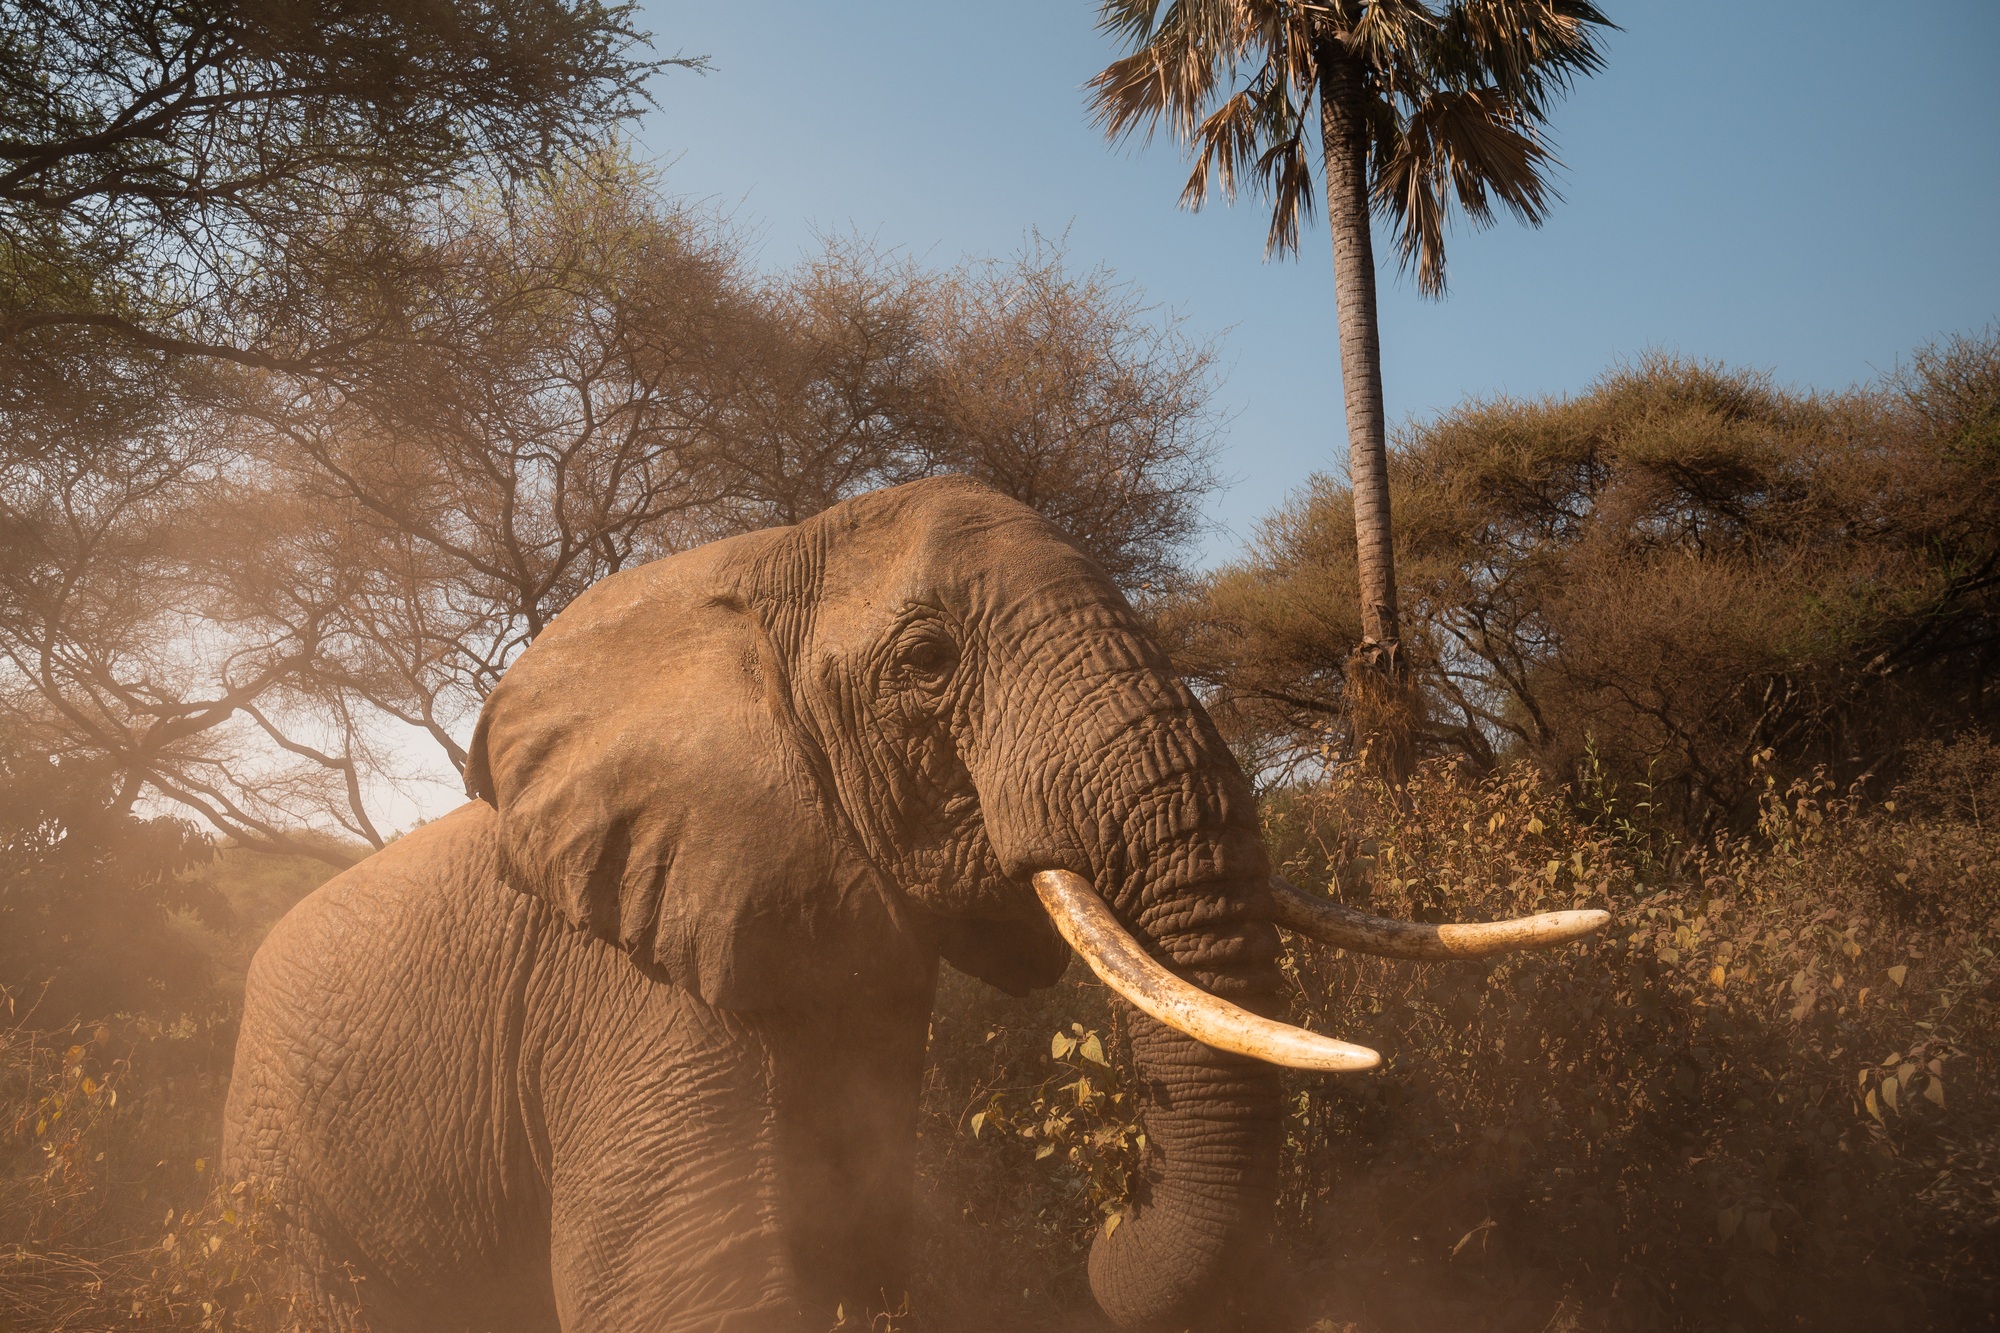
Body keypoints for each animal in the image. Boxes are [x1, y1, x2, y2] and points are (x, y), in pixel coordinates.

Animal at [222, 476, 1604, 1332]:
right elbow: (681, 1292)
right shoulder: (621, 979)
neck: (759, 561)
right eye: (928, 665)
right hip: (274, 1154)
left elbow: (862, 1240)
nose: (1099, 1236)